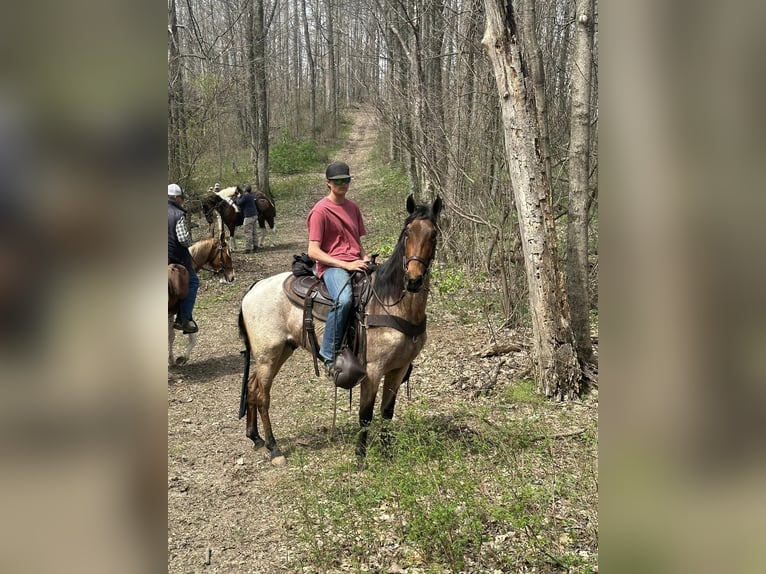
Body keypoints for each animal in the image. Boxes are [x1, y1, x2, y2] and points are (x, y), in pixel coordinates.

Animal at [240, 196, 444, 466]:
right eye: (407, 232)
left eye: (433, 235)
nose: (413, 280)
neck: (391, 303)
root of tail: (255, 288)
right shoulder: (372, 369)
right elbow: (365, 414)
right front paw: (360, 457)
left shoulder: (398, 368)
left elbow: (387, 412)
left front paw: (387, 452)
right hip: (268, 355)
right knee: (263, 395)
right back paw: (274, 448)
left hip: (281, 350)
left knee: (252, 387)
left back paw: (255, 437)